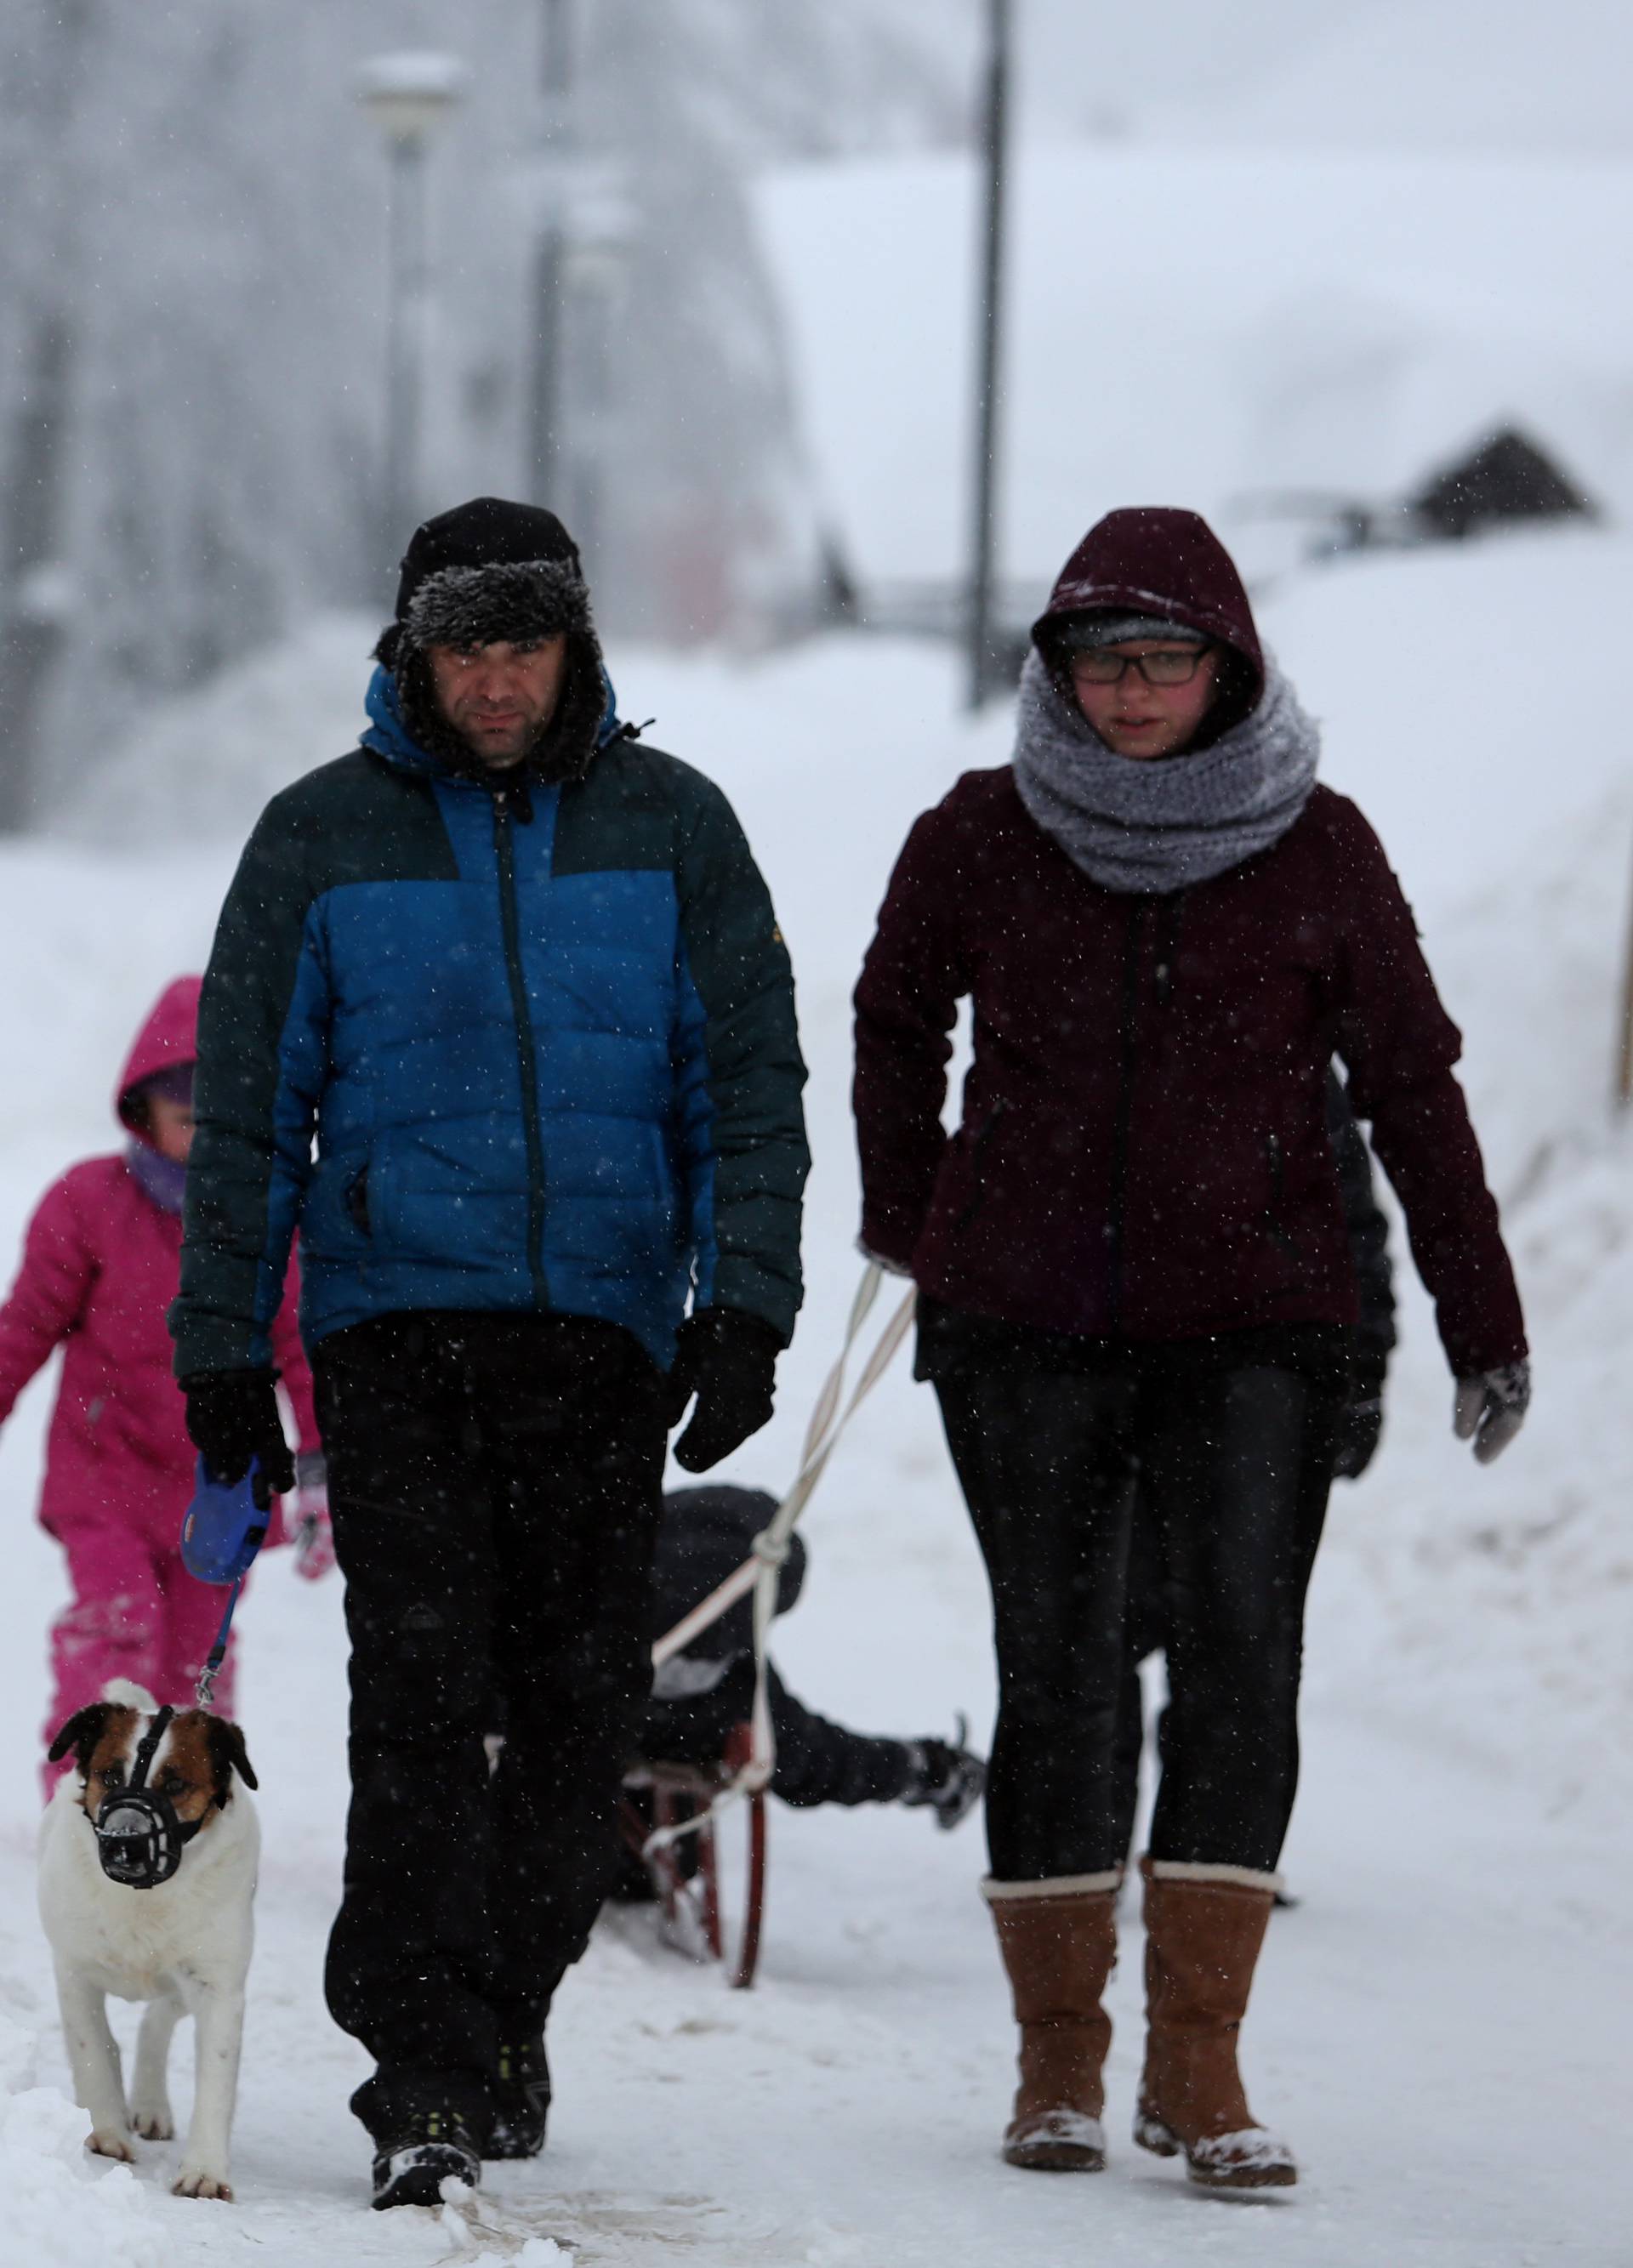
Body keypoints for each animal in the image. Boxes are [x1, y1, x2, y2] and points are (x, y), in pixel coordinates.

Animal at [39, 1687, 259, 2195]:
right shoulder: (73, 1971)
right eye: (109, 1775)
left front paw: (205, 2172)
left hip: (183, 1980)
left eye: (175, 1784)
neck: (144, 1897)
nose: (125, 1841)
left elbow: (216, 2079)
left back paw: (150, 2104)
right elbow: (91, 2052)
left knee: (157, 2021)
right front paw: (106, 2133)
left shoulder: (218, 1987)